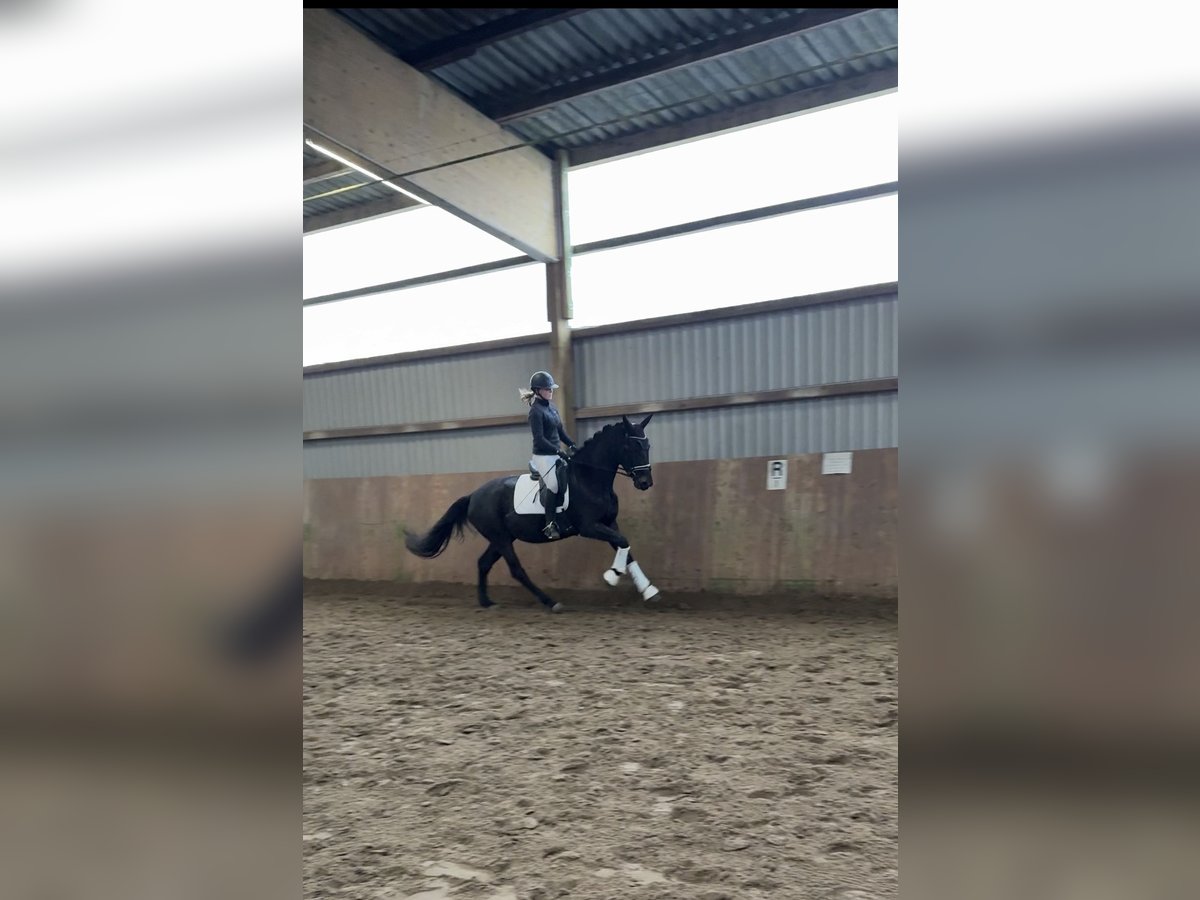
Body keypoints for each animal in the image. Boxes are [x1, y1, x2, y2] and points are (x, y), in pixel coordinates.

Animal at [404, 414, 659, 612]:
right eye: (630, 447)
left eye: (647, 446)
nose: (645, 483)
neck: (589, 479)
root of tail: (474, 495)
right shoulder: (589, 527)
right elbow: (623, 542)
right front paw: (612, 576)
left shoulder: (609, 523)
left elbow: (626, 547)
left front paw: (648, 590)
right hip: (501, 538)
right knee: (516, 570)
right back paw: (551, 602)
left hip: (501, 538)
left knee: (483, 563)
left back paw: (486, 602)